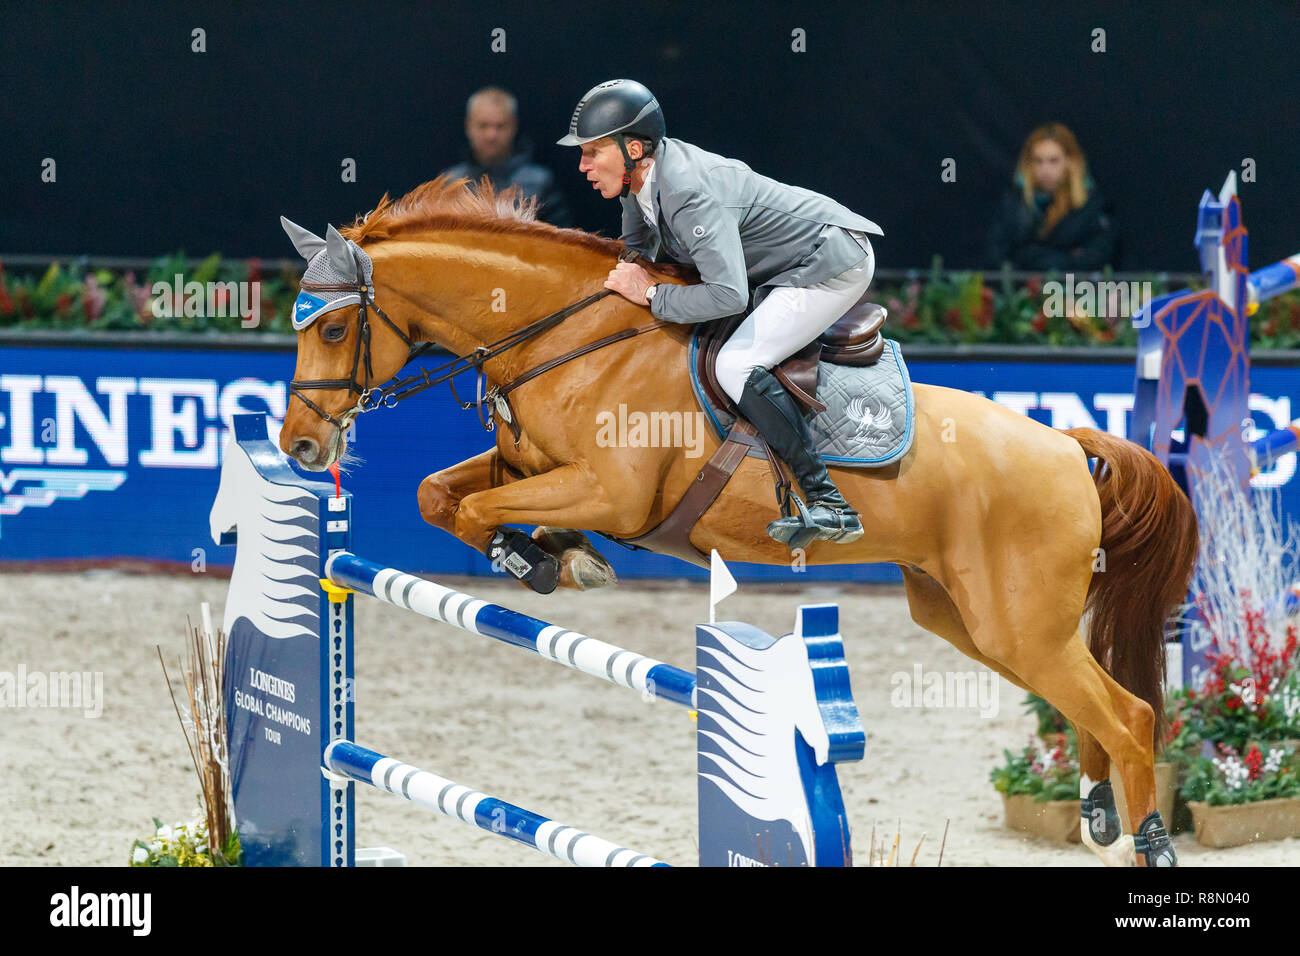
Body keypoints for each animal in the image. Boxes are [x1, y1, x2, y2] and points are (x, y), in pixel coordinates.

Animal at [276, 175, 1196, 863]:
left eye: (334, 328)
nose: (300, 446)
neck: (566, 337)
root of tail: (1067, 446)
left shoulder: (610, 491)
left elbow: (475, 507)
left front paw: (541, 560)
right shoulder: (533, 467)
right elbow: (442, 495)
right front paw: (555, 555)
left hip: (1016, 623)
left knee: (1129, 717)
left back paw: (1149, 840)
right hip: (968, 618)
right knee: (1093, 704)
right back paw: (1098, 810)